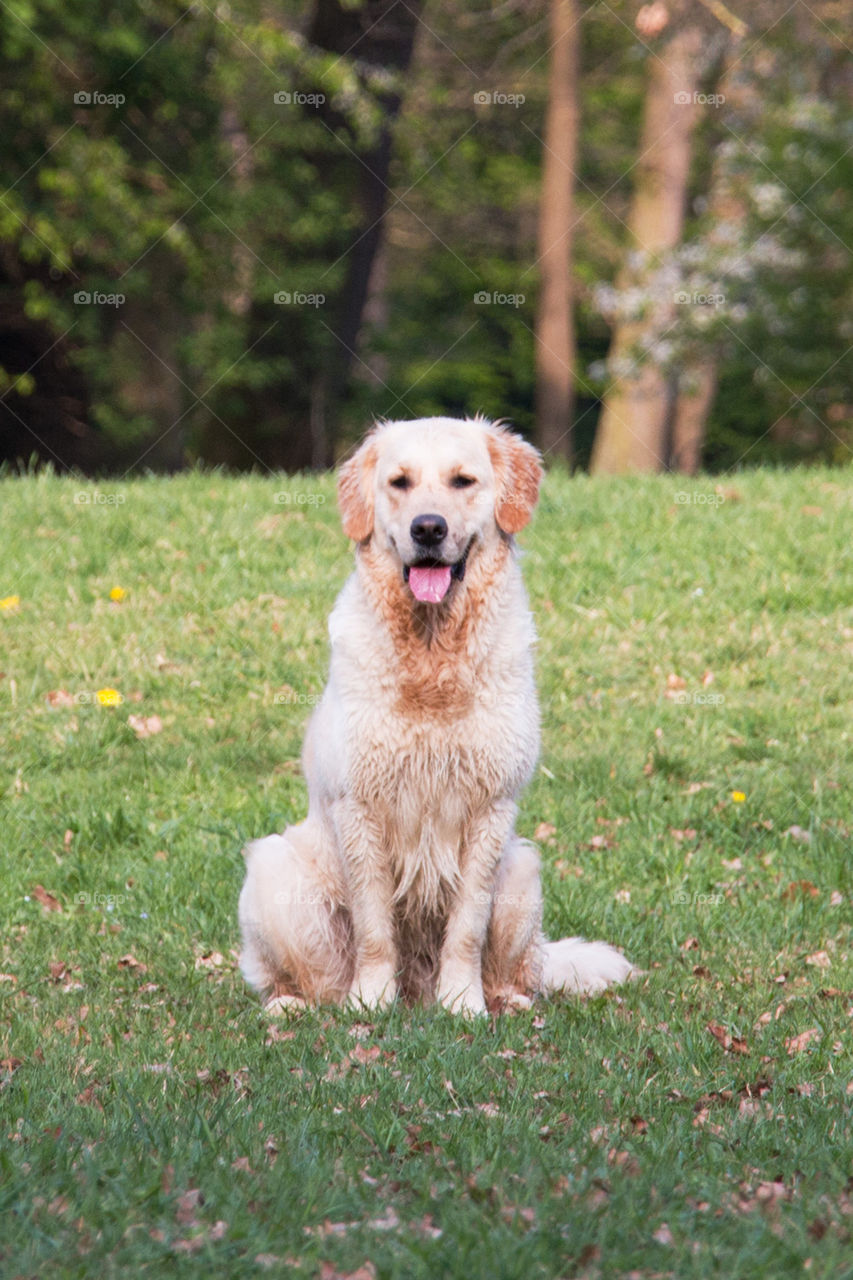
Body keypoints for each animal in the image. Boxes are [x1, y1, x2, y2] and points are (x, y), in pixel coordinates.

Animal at [236, 414, 630, 1013]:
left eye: (462, 480)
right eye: (399, 482)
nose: (427, 528)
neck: (432, 651)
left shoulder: (491, 807)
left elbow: (466, 925)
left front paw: (463, 1004)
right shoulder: (360, 807)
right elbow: (375, 927)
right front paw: (371, 1002)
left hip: (523, 869)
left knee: (521, 967)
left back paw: (506, 1001)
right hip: (274, 870)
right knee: (314, 980)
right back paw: (294, 1005)